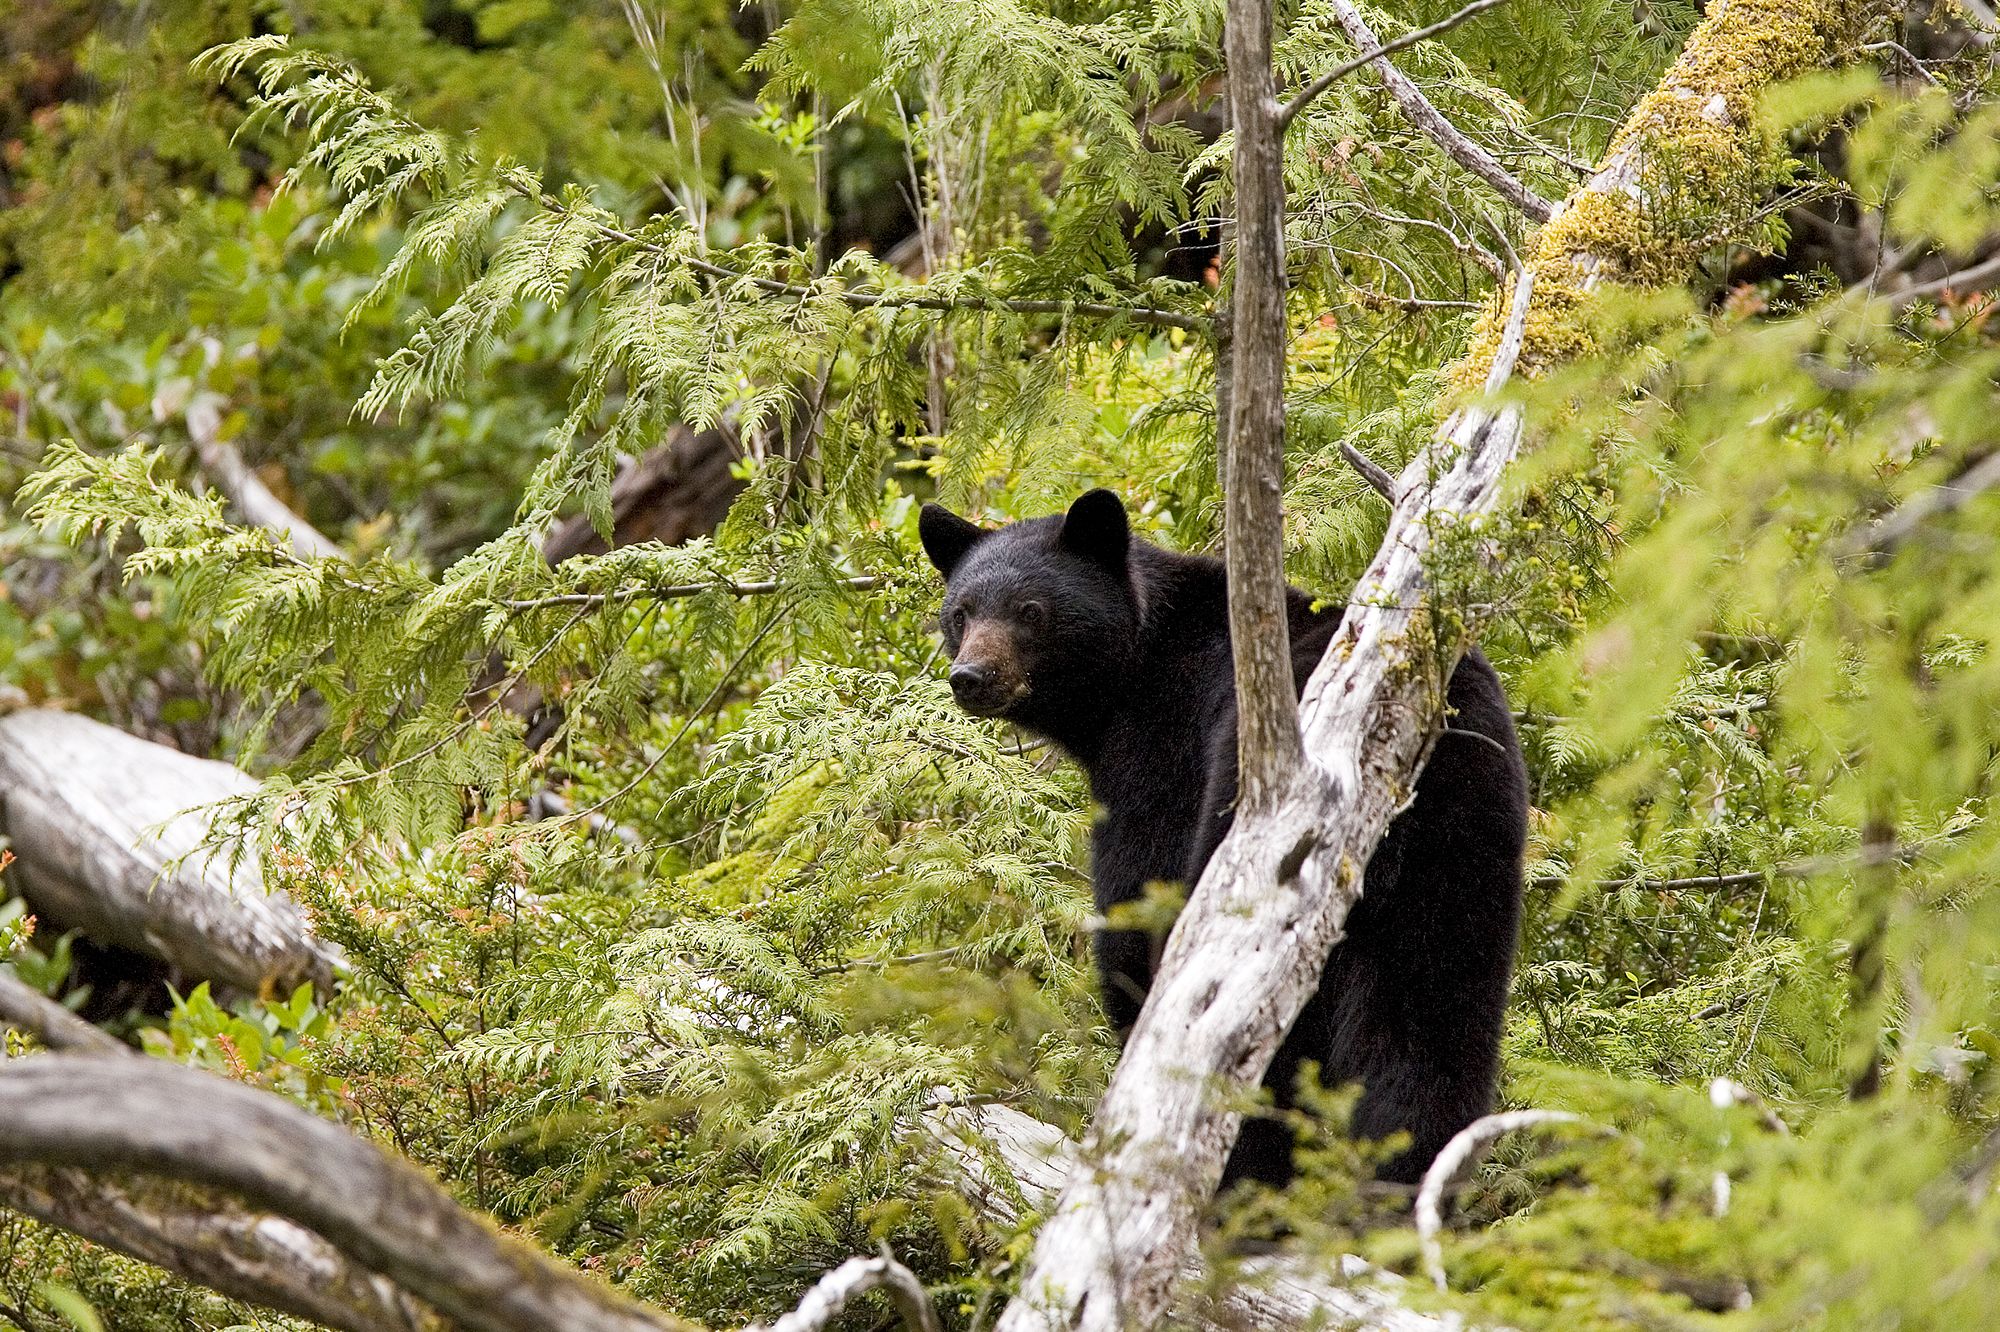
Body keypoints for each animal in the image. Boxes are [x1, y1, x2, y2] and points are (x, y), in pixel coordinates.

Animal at [924, 488, 1528, 1184]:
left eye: (1032, 611)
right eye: (960, 613)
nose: (971, 675)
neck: (1139, 662)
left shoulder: (1164, 746)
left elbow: (1137, 901)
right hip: (1466, 851)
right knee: (1431, 1031)